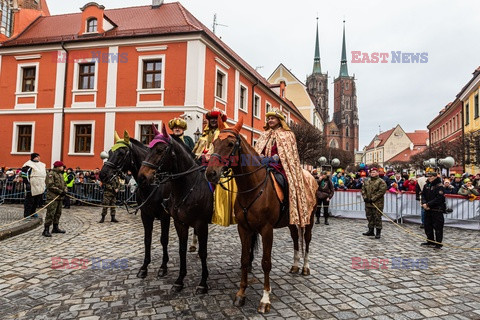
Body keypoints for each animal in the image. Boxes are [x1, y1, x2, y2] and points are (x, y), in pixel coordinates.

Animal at [98, 131, 172, 278]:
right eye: (109, 152)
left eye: (121, 153)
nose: (103, 174)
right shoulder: (146, 215)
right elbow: (147, 239)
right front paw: (144, 267)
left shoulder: (165, 216)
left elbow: (164, 239)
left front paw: (163, 266)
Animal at [139, 124, 214, 294]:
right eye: (148, 148)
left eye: (160, 150)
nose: (142, 177)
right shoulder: (179, 223)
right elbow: (181, 250)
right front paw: (179, 280)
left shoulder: (201, 224)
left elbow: (203, 252)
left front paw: (203, 282)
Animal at [205, 119, 316, 314]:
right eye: (215, 142)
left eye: (231, 144)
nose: (211, 173)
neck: (252, 188)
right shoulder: (244, 228)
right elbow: (244, 259)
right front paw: (241, 294)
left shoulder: (266, 230)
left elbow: (266, 262)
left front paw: (265, 299)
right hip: (292, 221)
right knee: (296, 238)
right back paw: (295, 265)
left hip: (308, 219)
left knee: (307, 241)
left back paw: (305, 267)